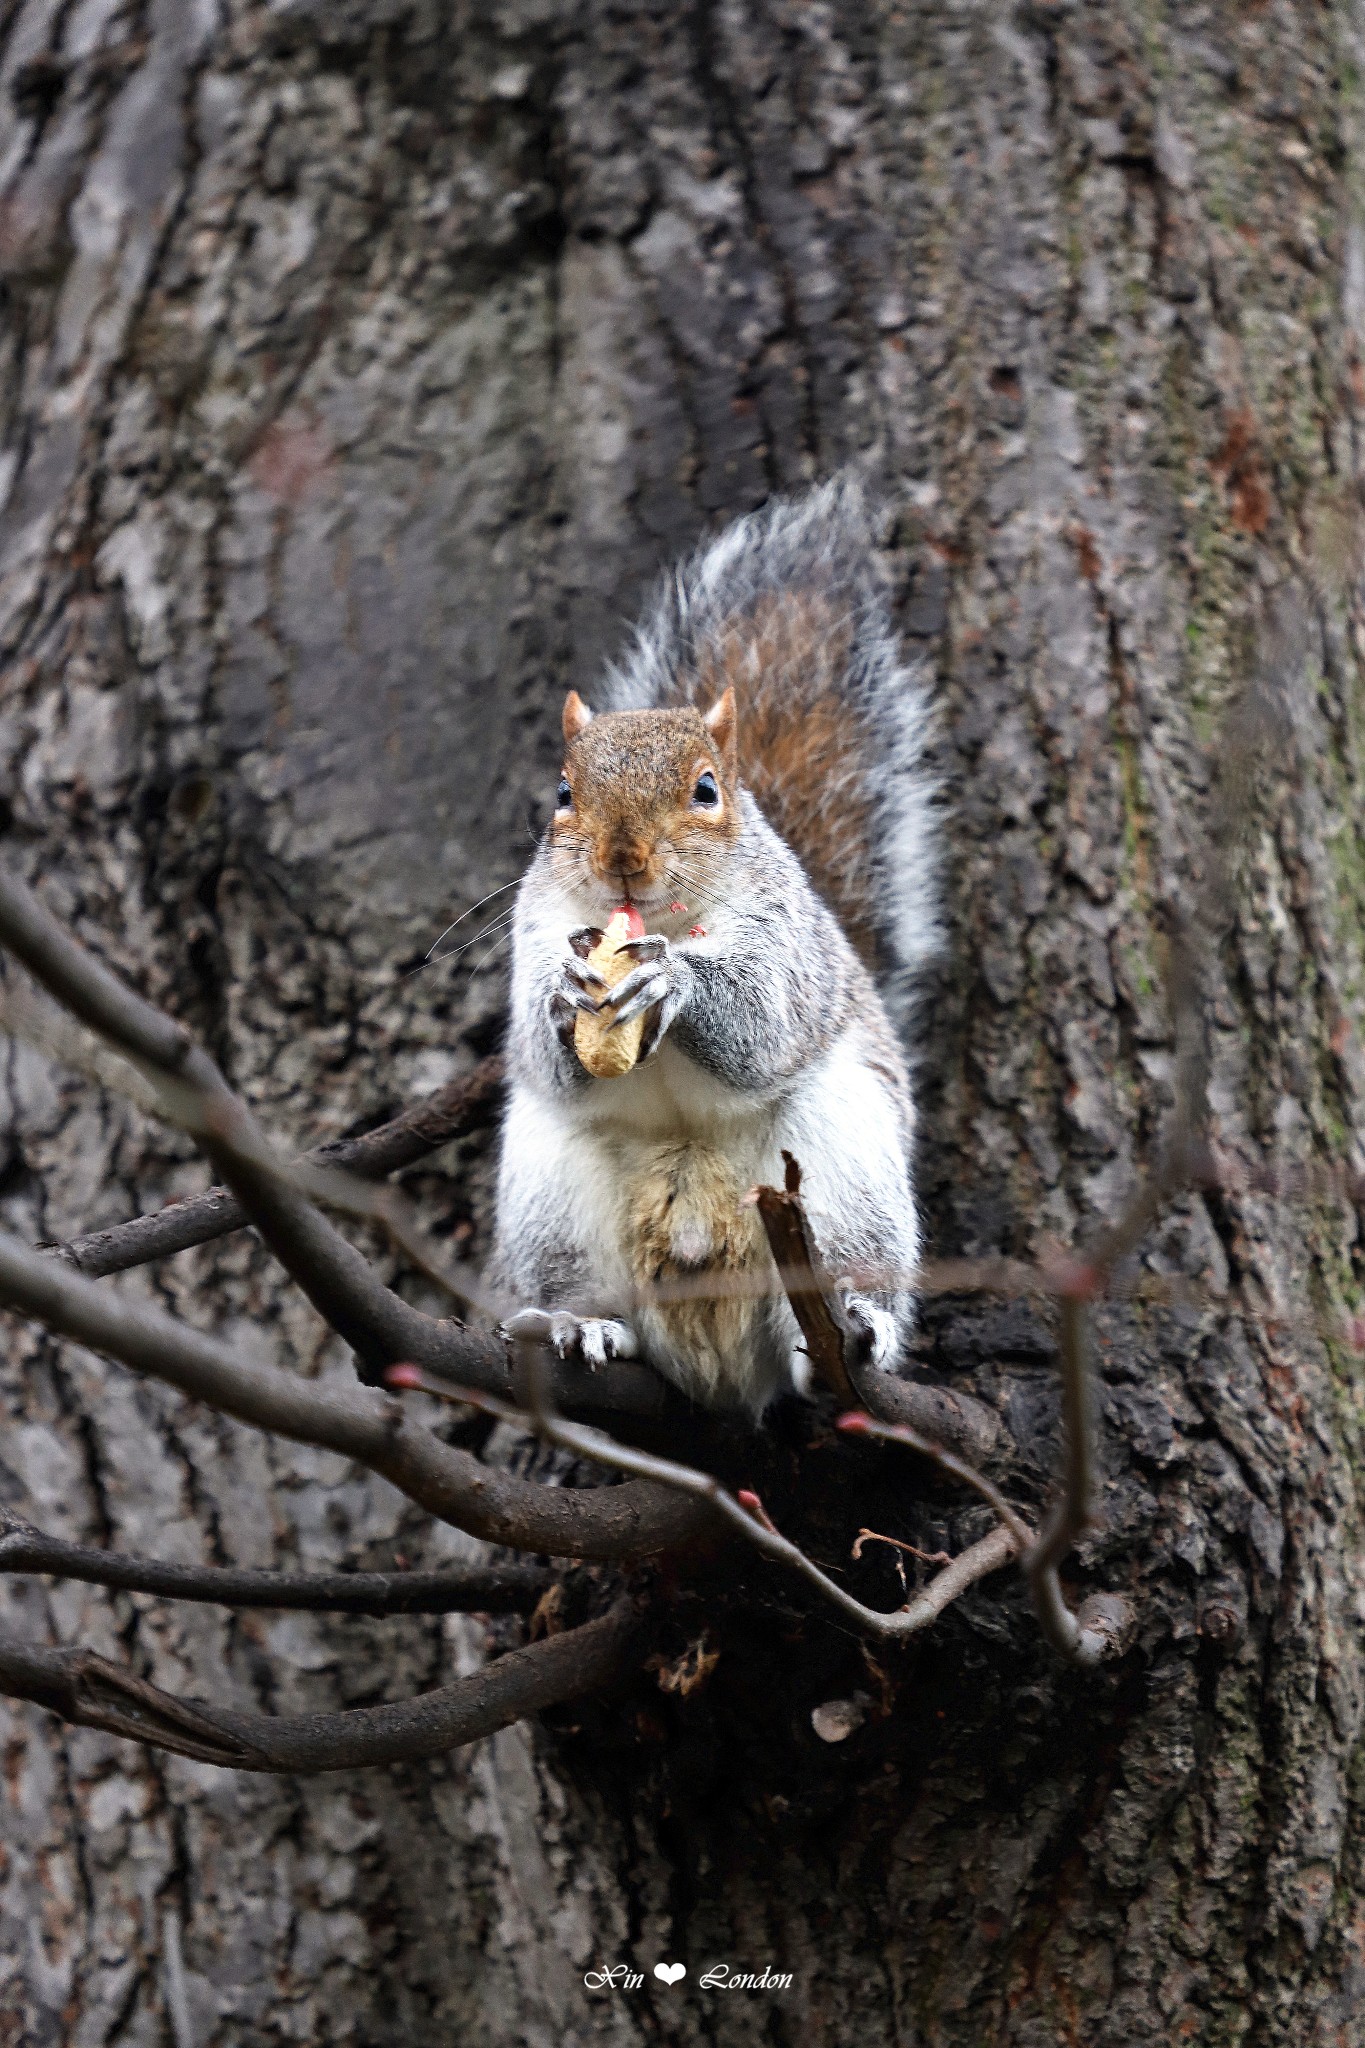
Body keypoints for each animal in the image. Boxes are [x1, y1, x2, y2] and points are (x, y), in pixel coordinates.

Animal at [491, 477, 941, 1409]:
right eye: (562, 792)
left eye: (705, 789)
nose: (622, 857)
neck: (658, 922)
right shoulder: (533, 929)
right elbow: (542, 1045)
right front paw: (563, 999)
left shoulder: (785, 939)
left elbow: (760, 1025)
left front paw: (676, 986)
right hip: (551, 1199)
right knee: (579, 1287)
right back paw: (579, 1325)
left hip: (845, 1173)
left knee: (854, 1275)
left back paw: (857, 1326)